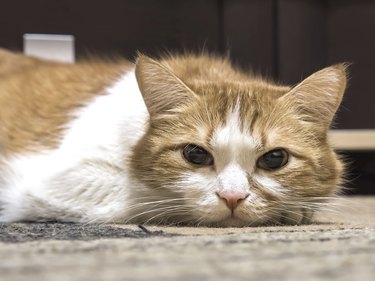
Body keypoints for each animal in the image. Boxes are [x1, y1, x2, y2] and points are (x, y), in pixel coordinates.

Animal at [0, 49, 348, 226]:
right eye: (195, 154)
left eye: (275, 158)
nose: (233, 198)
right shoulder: (58, 181)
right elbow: (151, 199)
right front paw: (291, 211)